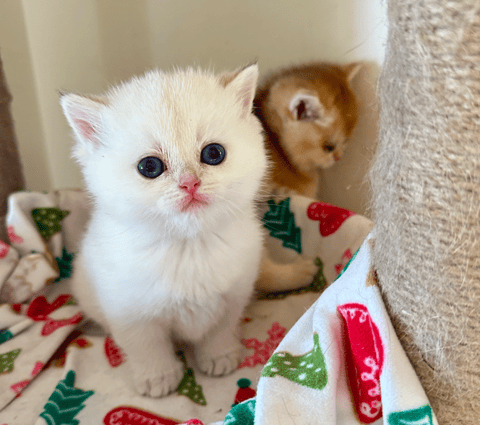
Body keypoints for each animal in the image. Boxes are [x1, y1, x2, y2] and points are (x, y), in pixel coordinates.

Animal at [60, 63, 268, 398]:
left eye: (213, 154)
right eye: (150, 167)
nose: (189, 183)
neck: (188, 246)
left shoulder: (234, 295)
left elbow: (220, 329)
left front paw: (219, 355)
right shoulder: (129, 313)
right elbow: (147, 347)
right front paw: (158, 377)